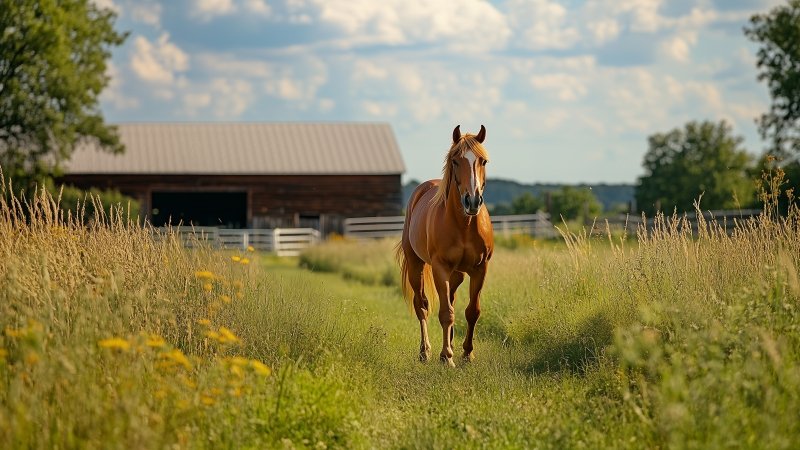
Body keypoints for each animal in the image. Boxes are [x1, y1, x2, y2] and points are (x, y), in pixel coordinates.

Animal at [396, 125, 494, 366]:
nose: (472, 201)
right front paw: (447, 357)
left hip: (457, 274)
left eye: (483, 161)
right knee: (422, 305)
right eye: (456, 161)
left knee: (450, 299)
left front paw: (467, 353)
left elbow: (472, 311)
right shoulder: (440, 268)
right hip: (416, 266)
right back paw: (426, 351)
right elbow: (445, 313)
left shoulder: (480, 269)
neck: (465, 225)